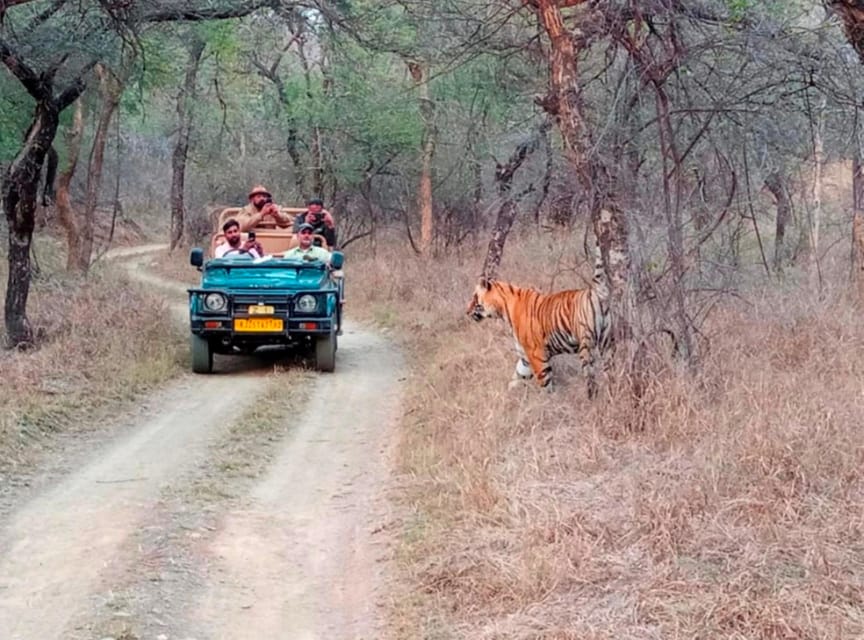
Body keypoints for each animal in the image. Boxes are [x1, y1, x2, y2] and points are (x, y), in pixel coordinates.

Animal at [466, 244, 612, 398]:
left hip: (586, 345)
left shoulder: (536, 354)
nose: (467, 312)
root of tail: (594, 291)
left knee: (590, 376)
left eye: (474, 297)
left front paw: (549, 400)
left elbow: (545, 382)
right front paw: (508, 395)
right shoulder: (524, 357)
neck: (503, 309)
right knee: (610, 371)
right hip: (606, 343)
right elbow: (517, 376)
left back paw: (592, 398)